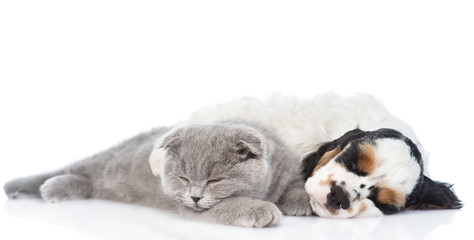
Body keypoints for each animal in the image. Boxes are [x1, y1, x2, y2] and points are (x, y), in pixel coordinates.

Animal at [6, 122, 314, 227]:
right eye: (184, 179)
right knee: (71, 169)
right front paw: (261, 209)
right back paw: (32, 187)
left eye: (215, 180)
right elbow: (231, 204)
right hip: (103, 162)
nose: (196, 197)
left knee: (87, 182)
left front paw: (302, 201)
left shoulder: (288, 167)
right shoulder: (191, 209)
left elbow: (296, 183)